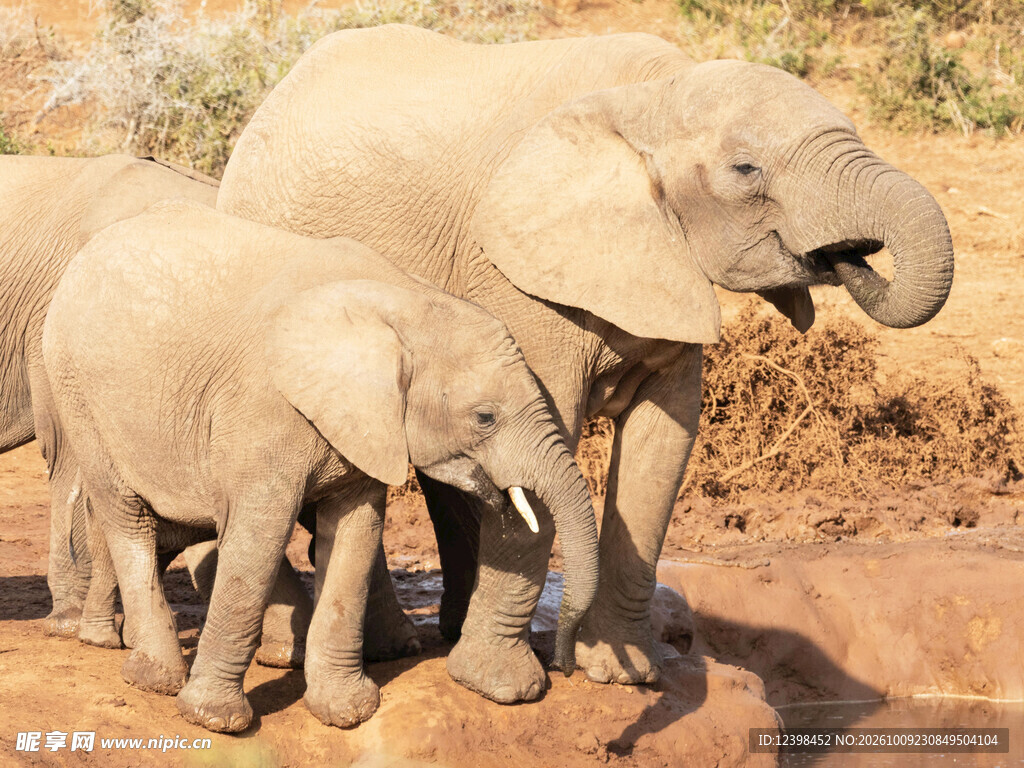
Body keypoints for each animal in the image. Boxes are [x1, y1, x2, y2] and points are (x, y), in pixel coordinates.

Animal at [40, 199, 599, 732]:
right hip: (75, 390)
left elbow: (354, 535)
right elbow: (257, 539)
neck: (406, 304)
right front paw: (215, 720)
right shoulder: (263, 407)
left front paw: (347, 713)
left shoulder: (364, 427)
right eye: (485, 417)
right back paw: (152, 678)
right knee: (126, 516)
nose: (567, 666)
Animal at [217, 25, 954, 696]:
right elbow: (549, 438)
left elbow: (662, 447)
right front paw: (504, 687)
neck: (656, 95)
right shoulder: (514, 276)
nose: (846, 258)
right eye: (747, 170)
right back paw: (393, 650)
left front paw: (624, 674)